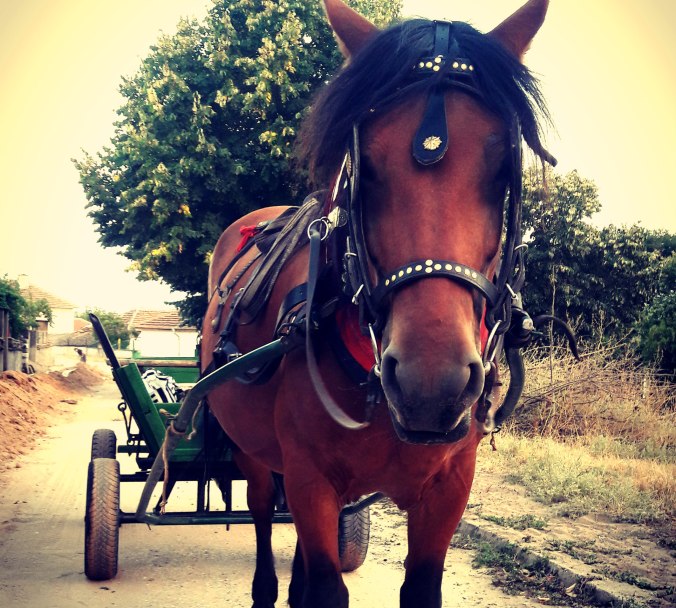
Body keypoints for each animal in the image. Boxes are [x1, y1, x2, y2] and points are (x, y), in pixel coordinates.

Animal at [200, 1, 554, 606]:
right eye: (365, 170)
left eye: (503, 172)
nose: (430, 384)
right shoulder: (310, 480)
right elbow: (324, 585)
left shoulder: (447, 491)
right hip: (254, 454)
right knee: (263, 514)